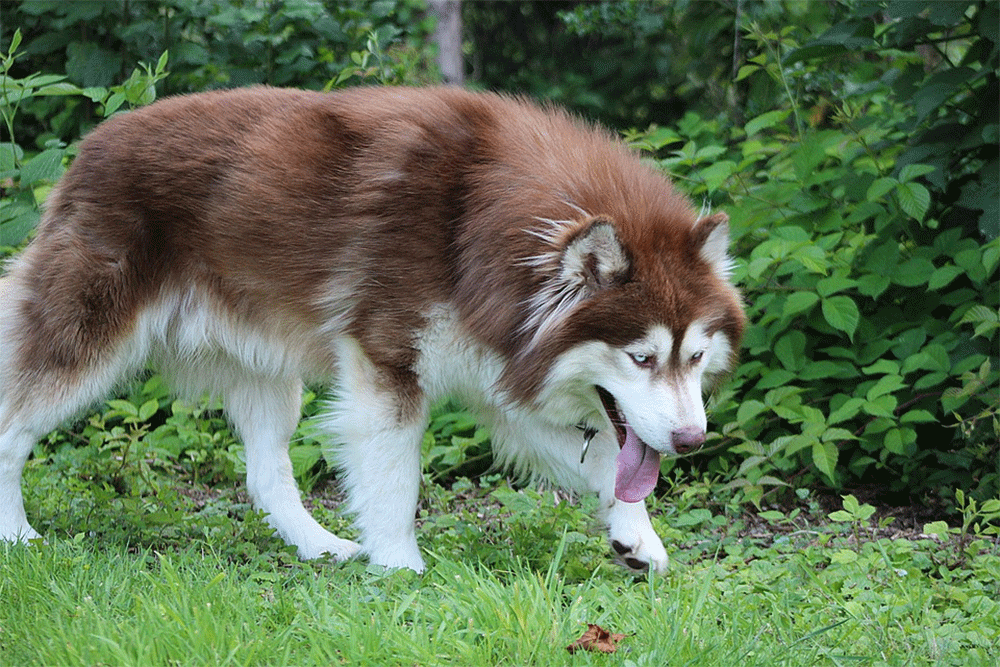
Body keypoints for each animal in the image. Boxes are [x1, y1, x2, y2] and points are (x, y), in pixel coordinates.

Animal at [0, 86, 744, 572]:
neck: (477, 226)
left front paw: (637, 534)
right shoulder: (385, 366)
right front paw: (400, 571)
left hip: (267, 373)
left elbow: (601, 461)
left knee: (266, 474)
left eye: (694, 357)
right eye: (642, 357)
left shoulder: (498, 376)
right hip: (85, 345)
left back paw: (321, 547)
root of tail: (93, 143)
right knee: (11, 432)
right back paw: (17, 537)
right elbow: (395, 481)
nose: (691, 440)